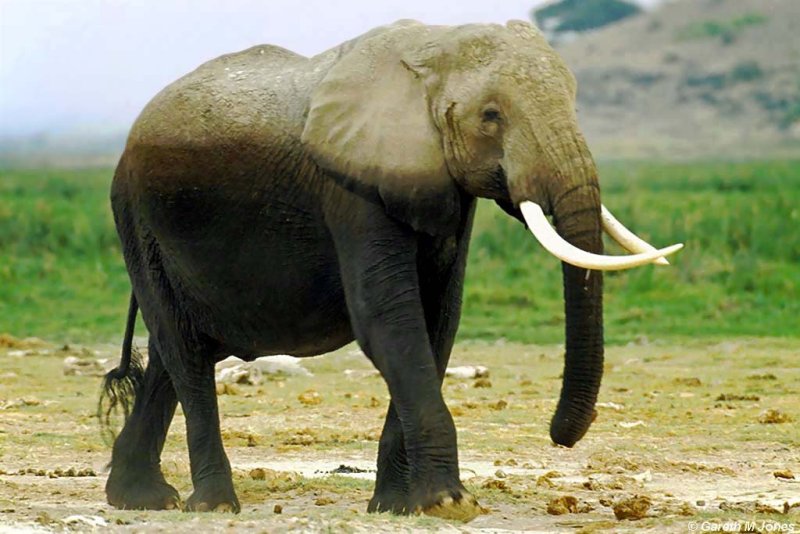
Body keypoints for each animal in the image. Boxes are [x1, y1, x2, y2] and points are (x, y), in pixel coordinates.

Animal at [97, 18, 680, 520]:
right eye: (491, 115)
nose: (559, 435)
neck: (432, 50)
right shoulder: (352, 186)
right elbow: (389, 321)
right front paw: (449, 504)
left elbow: (439, 319)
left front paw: (398, 507)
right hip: (138, 216)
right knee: (184, 351)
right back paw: (213, 505)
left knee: (171, 354)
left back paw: (143, 500)